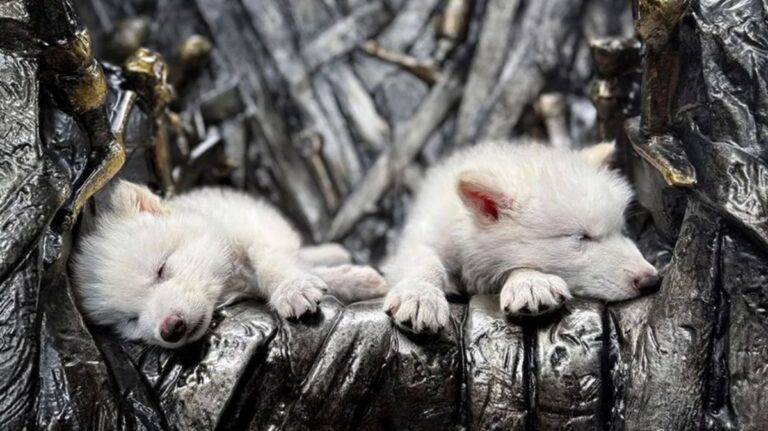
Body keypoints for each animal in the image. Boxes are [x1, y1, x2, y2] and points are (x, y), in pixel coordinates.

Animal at [72, 181, 387, 348]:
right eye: (130, 320)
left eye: (161, 269)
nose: (170, 329)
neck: (228, 280)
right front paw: (352, 281)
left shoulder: (257, 229)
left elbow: (272, 262)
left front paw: (293, 288)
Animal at [383, 140, 659, 333]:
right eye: (581, 237)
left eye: (621, 231)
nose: (652, 281)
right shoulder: (423, 236)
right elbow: (425, 260)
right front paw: (419, 295)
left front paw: (530, 282)